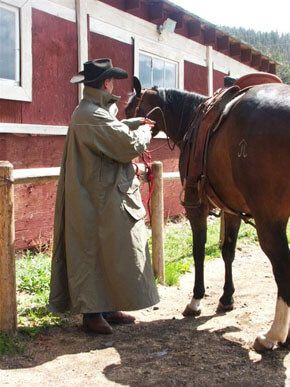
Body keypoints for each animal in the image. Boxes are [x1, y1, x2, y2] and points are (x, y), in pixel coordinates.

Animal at [125, 78, 290, 352]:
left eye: (129, 110)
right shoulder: (231, 209)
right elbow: (228, 251)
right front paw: (226, 298)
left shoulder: (196, 206)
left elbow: (199, 251)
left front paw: (196, 300)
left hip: (269, 222)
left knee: (282, 266)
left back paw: (273, 335)